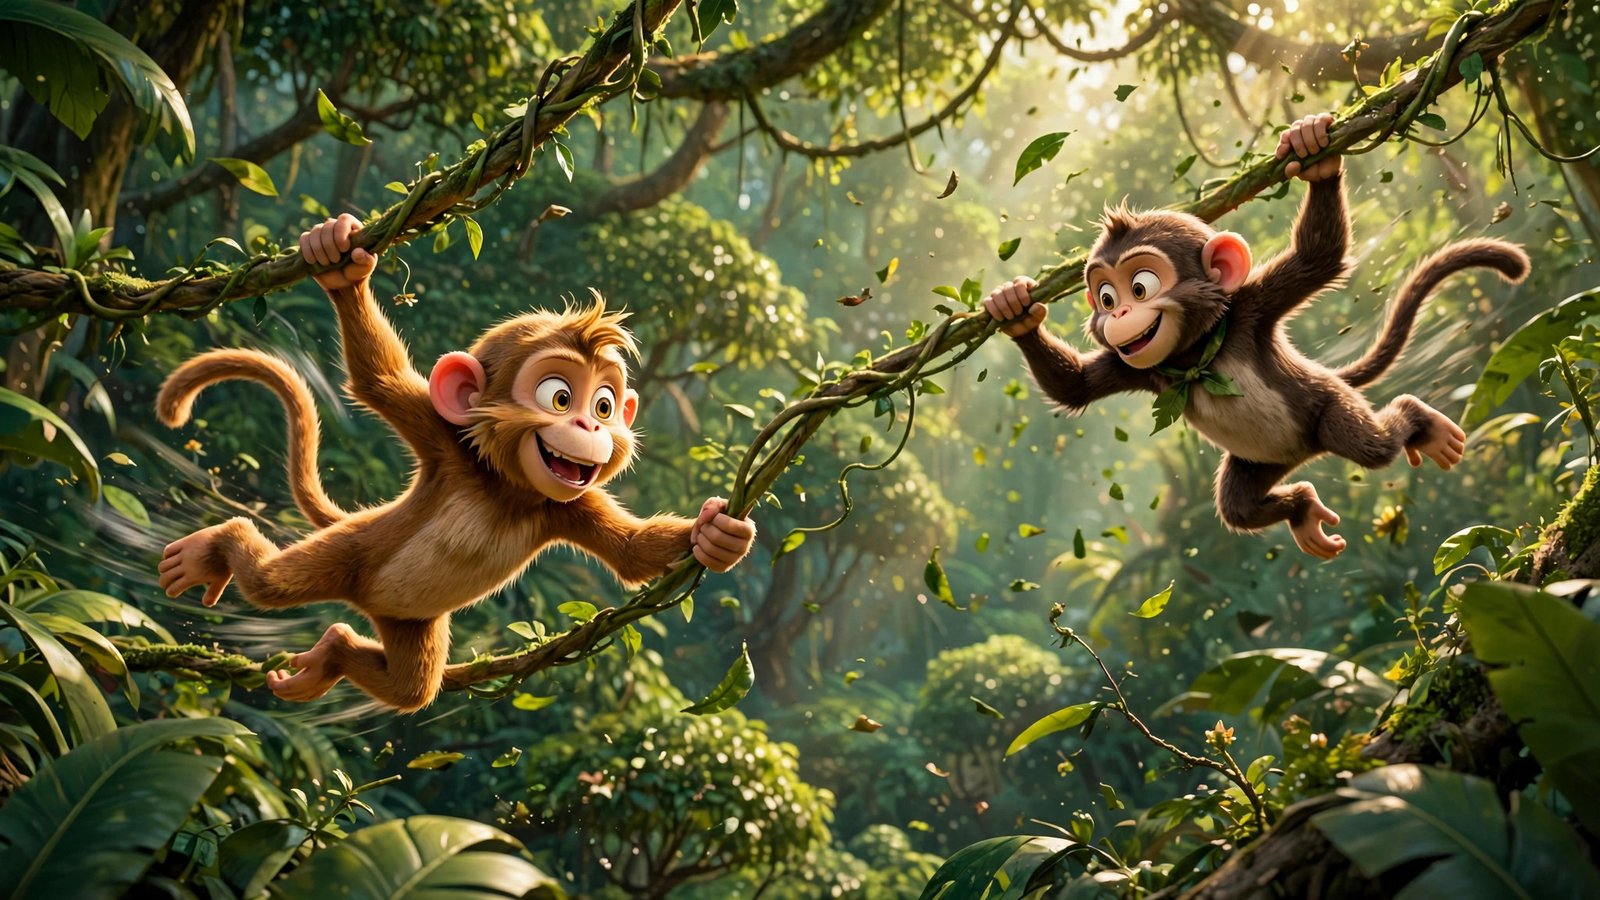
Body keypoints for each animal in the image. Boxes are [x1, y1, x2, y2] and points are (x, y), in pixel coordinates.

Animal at [156, 213, 757, 711]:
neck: (506, 488)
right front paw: (339, 267)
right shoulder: (449, 445)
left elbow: (631, 553)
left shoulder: (567, 507)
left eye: (605, 405)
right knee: (267, 582)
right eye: (560, 397)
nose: (591, 427)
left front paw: (718, 535)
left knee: (410, 687)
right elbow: (378, 382)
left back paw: (332, 655)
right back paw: (220, 547)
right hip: (352, 553)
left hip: (408, 621)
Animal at [983, 113, 1530, 559]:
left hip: (1327, 405)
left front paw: (1315, 155)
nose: (1117, 316)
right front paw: (1013, 309)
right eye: (1104, 296)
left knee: (1369, 444)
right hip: (1259, 462)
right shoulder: (1137, 367)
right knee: (1238, 507)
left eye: (1140, 287)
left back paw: (1418, 420)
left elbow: (1320, 258)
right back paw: (1302, 509)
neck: (1198, 353)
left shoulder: (1251, 309)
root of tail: (1305, 450)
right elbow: (1074, 387)